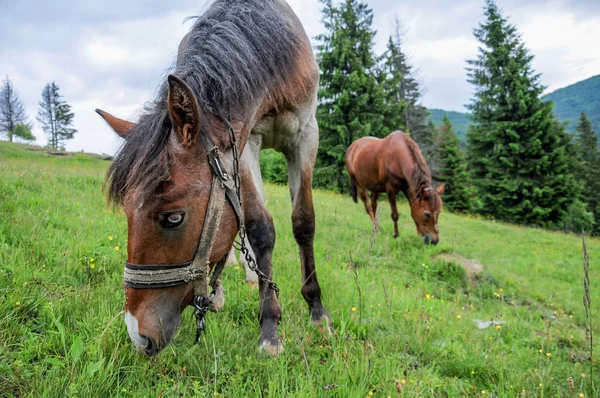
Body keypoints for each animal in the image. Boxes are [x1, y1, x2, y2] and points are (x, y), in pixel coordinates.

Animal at [94, 0, 328, 354]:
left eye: (174, 218)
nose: (138, 334)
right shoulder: (244, 142)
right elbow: (259, 227)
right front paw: (270, 325)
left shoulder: (306, 134)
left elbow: (304, 222)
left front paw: (316, 311)